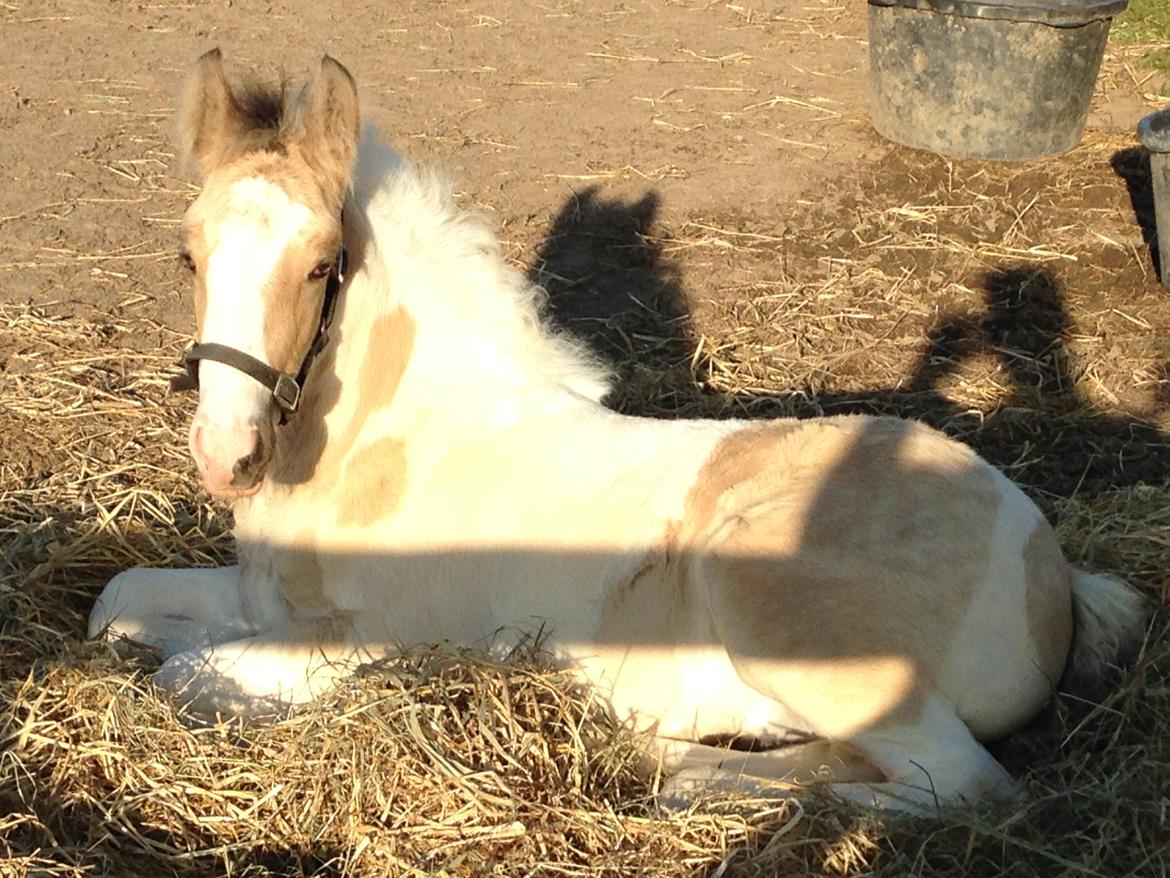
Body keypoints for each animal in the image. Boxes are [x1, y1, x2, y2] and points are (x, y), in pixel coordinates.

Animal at [88, 51, 1141, 814]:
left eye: (320, 265)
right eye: (186, 253)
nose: (228, 454)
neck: (389, 456)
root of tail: (1053, 566)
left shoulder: (367, 632)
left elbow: (187, 672)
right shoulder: (257, 600)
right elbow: (118, 606)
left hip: (782, 604)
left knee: (961, 784)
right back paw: (663, 758)